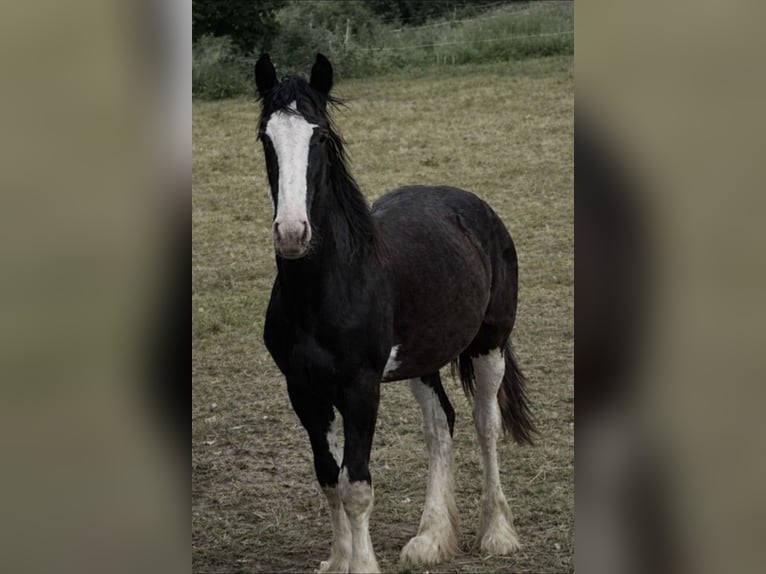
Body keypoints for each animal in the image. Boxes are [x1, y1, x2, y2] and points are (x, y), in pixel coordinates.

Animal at [254, 53, 535, 573]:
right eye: (266, 137)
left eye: (320, 137)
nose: (292, 232)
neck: (328, 288)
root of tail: (475, 207)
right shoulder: (303, 390)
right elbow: (329, 478)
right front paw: (338, 560)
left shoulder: (361, 388)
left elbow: (357, 486)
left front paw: (362, 565)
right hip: (421, 361)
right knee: (440, 426)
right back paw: (431, 539)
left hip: (490, 345)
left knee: (485, 425)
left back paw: (497, 533)